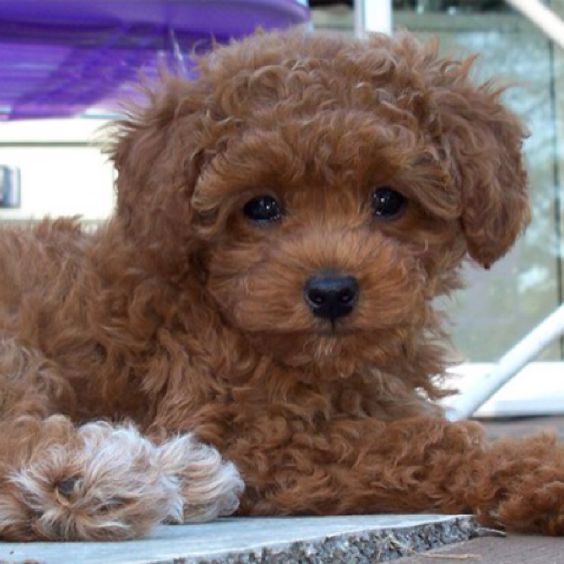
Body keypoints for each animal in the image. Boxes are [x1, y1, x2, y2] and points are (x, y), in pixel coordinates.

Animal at [1, 28, 564, 540]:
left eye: (388, 200)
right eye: (261, 207)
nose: (332, 292)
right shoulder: (260, 436)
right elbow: (418, 444)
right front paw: (541, 467)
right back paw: (123, 479)